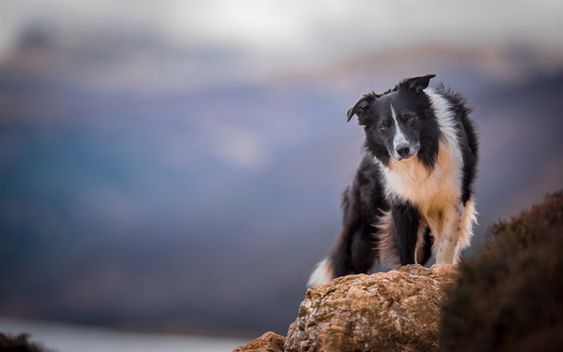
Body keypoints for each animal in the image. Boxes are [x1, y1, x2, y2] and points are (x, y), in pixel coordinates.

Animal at [310, 73, 478, 286]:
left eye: (410, 118)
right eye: (383, 125)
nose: (403, 150)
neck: (421, 159)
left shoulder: (454, 200)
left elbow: (446, 246)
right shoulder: (402, 202)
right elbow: (406, 249)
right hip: (363, 227)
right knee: (347, 259)